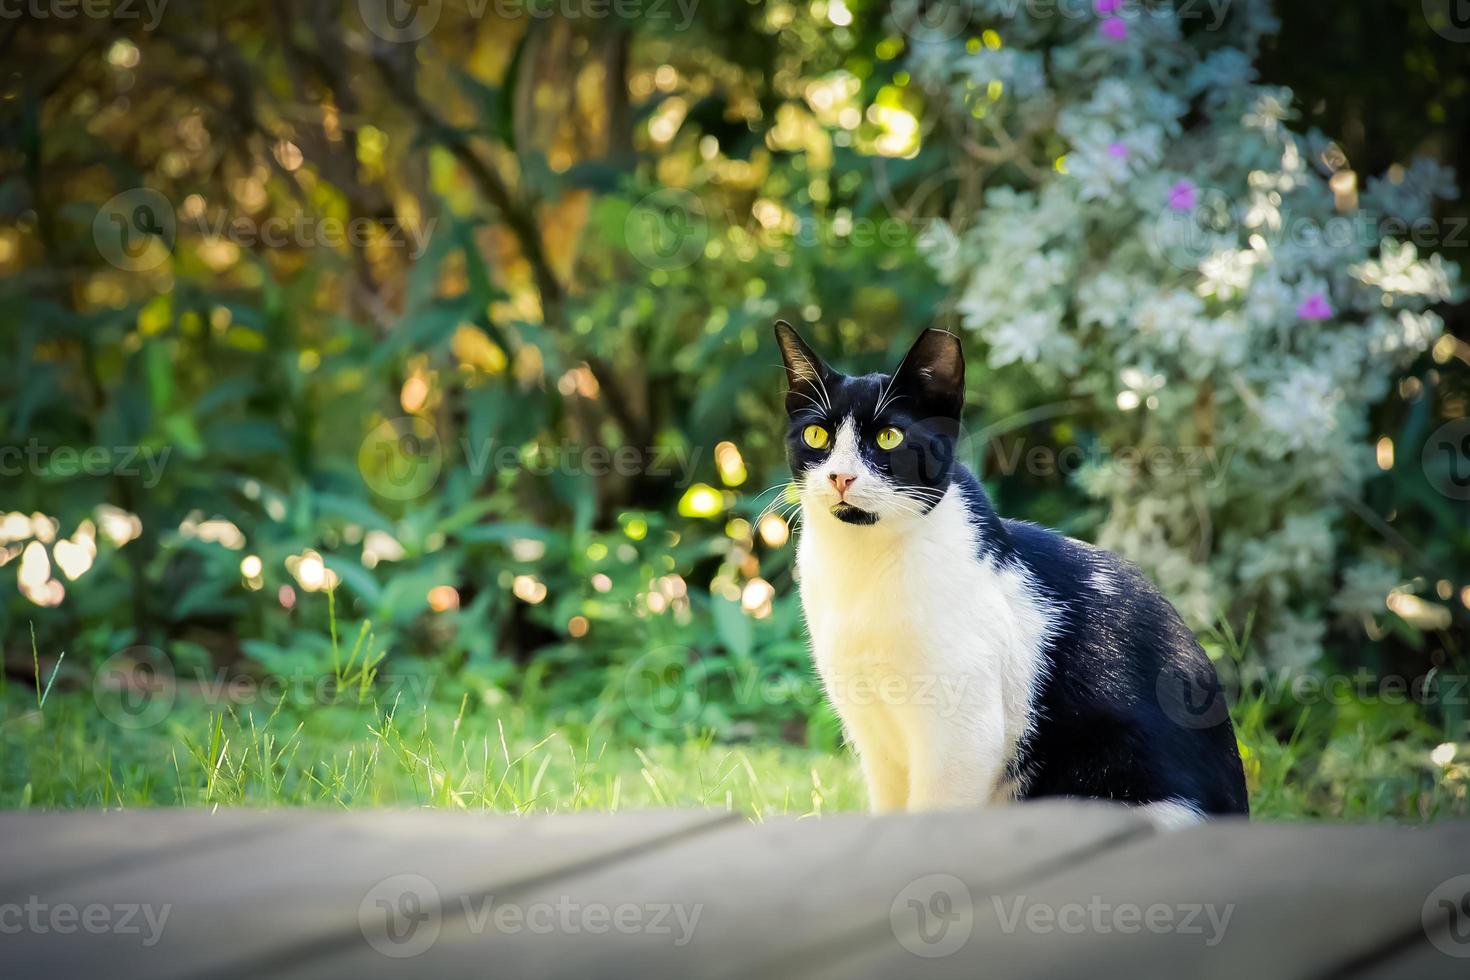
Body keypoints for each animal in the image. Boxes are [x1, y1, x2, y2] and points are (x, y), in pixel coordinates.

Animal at [776, 323, 1246, 828]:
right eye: (817, 434)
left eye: (888, 437)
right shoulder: (873, 733)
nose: (840, 477)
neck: (862, 566)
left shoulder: (964, 735)